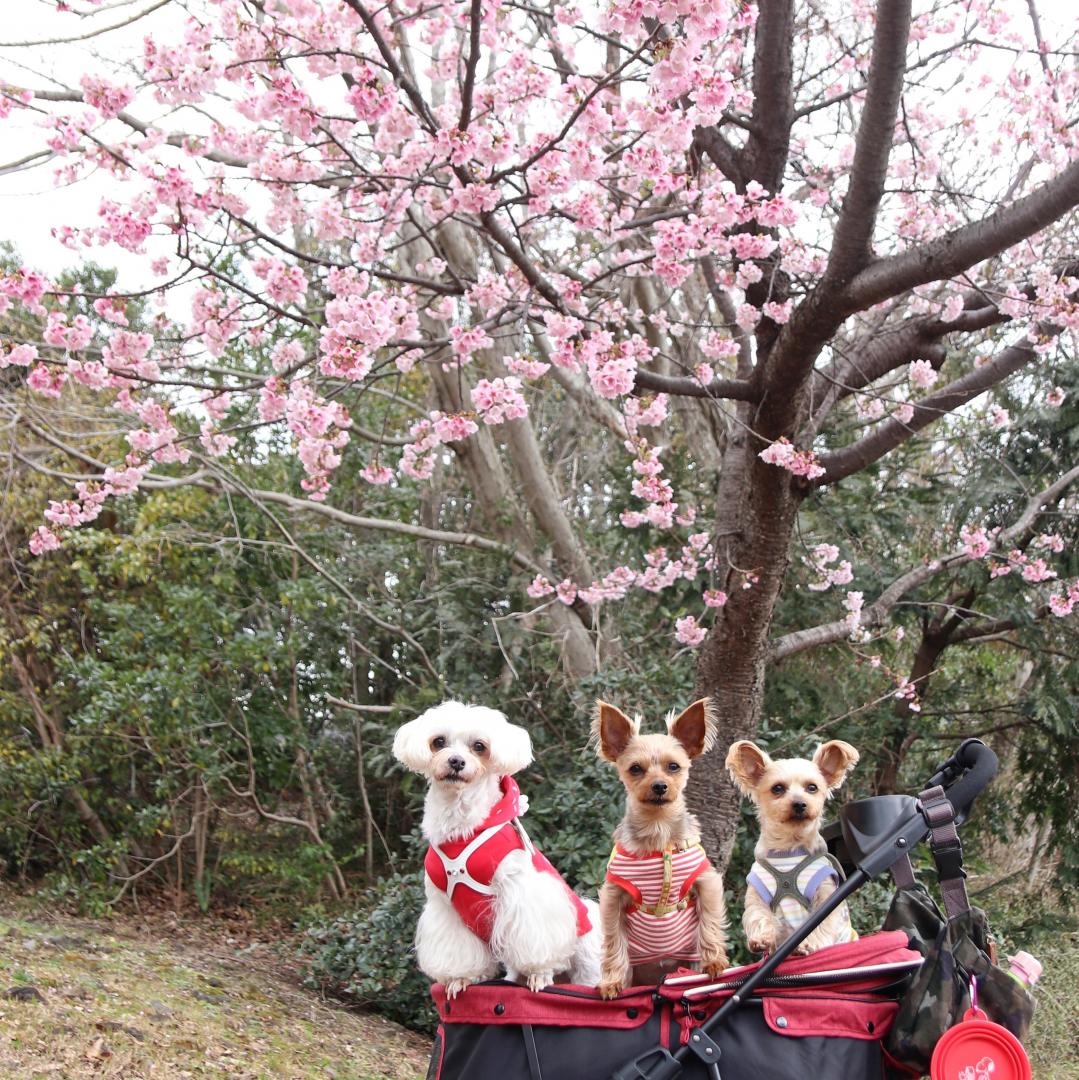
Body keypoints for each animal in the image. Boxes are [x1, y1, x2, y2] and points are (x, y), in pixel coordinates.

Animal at [395, 699, 604, 993]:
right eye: (438, 742)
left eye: (479, 746)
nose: (456, 761)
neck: (462, 829)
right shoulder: (444, 907)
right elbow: (459, 951)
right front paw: (460, 979)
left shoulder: (520, 891)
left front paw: (540, 973)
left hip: (585, 952)